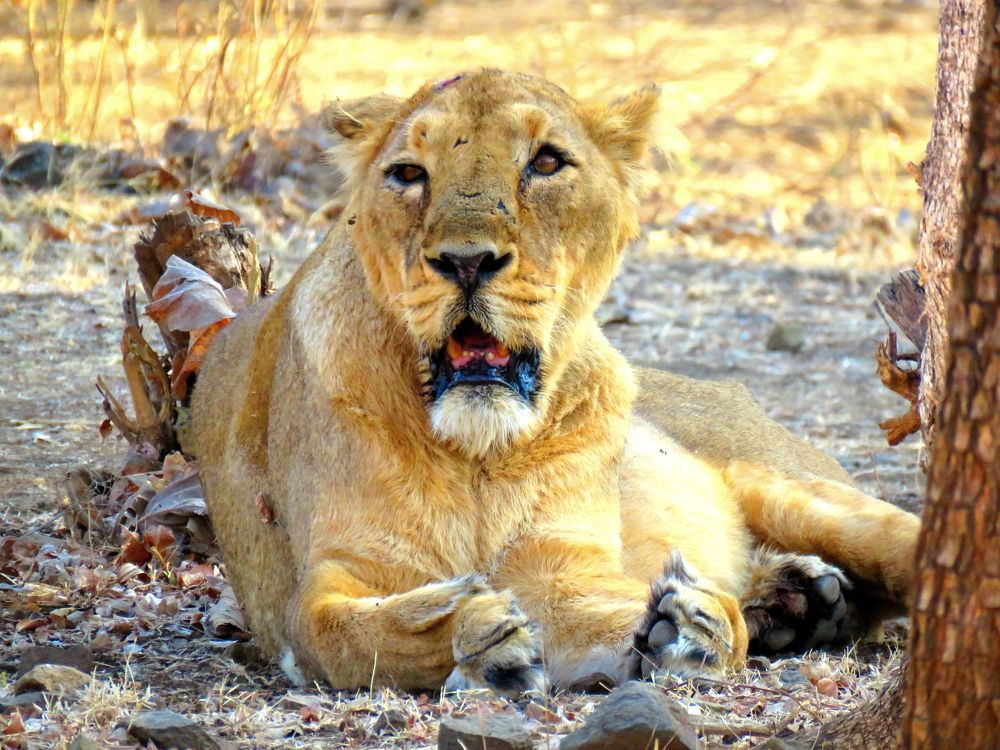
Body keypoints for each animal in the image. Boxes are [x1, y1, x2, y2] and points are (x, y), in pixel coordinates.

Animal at [192, 68, 920, 695]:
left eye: (545, 163)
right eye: (408, 174)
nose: (465, 261)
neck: (475, 454)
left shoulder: (563, 566)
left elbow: (631, 613)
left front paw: (693, 629)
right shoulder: (335, 573)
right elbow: (342, 633)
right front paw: (470, 626)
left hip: (802, 491)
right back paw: (797, 600)